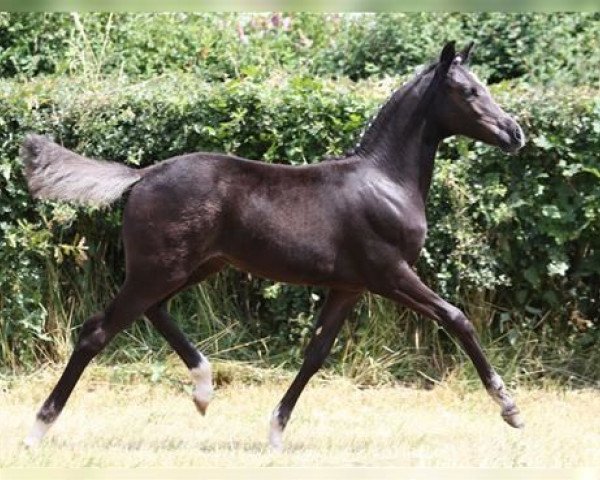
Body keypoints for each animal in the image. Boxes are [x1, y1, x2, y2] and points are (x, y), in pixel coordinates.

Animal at [21, 42, 524, 450]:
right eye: (469, 91)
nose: (515, 133)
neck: (386, 181)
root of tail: (143, 175)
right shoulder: (390, 273)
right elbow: (457, 318)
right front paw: (510, 407)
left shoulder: (350, 287)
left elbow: (316, 353)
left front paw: (276, 431)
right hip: (159, 268)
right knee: (97, 331)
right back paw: (38, 429)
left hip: (192, 266)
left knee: (155, 311)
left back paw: (203, 388)